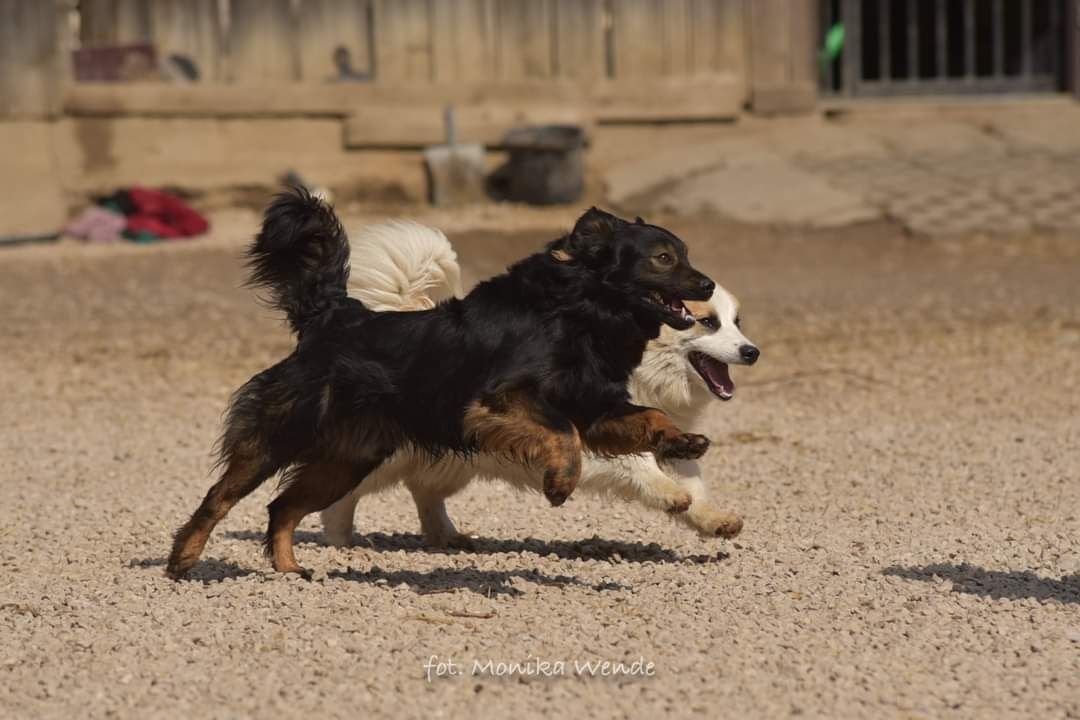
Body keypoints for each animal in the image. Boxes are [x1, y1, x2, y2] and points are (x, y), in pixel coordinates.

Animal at [164, 191, 712, 578]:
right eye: (664, 258)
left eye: (686, 254)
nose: (707, 284)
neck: (580, 308)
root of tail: (334, 316)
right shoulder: (496, 402)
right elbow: (564, 435)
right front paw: (560, 482)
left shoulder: (595, 406)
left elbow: (648, 416)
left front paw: (682, 441)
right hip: (281, 435)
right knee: (219, 498)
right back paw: (182, 561)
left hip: (348, 459)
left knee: (282, 507)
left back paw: (288, 569)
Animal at [319, 220, 760, 546]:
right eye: (708, 322)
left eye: (737, 322)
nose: (752, 351)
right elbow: (638, 462)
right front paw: (670, 495)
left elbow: (689, 472)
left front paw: (712, 518)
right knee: (342, 495)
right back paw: (342, 542)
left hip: (454, 458)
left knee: (424, 491)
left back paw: (447, 536)